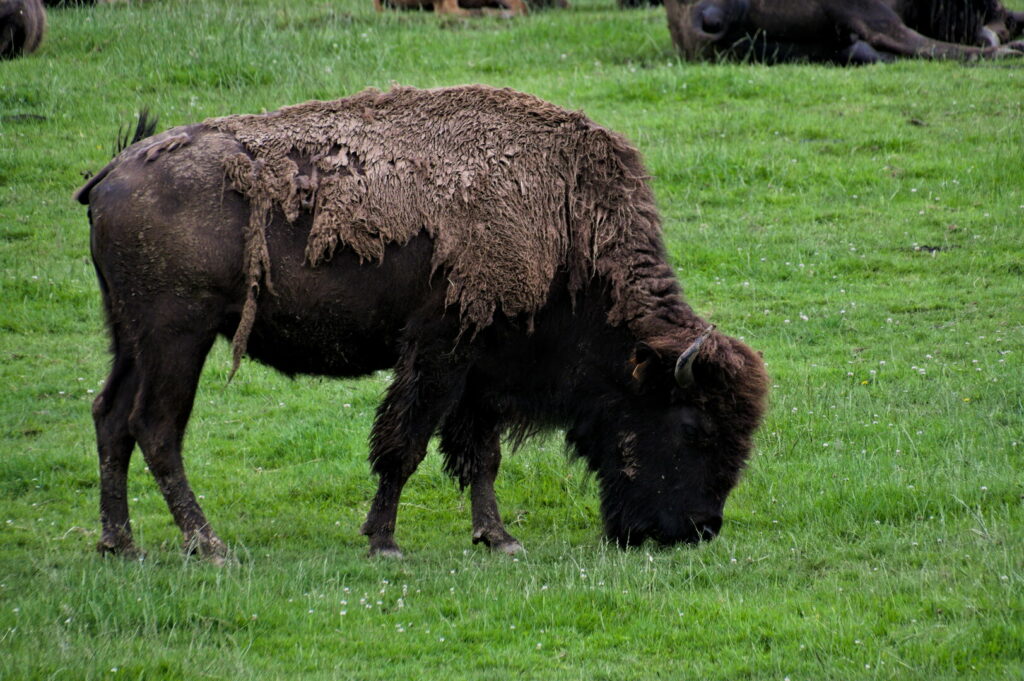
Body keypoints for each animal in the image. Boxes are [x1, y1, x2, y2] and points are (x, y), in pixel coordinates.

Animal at [75, 84, 770, 561]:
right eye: (694, 428)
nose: (699, 530)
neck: (565, 221)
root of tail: (112, 172)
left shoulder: (484, 370)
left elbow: (481, 455)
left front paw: (498, 538)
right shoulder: (440, 352)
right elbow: (405, 444)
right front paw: (384, 542)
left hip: (130, 339)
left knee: (110, 417)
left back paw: (121, 544)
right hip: (177, 337)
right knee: (155, 427)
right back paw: (208, 545)